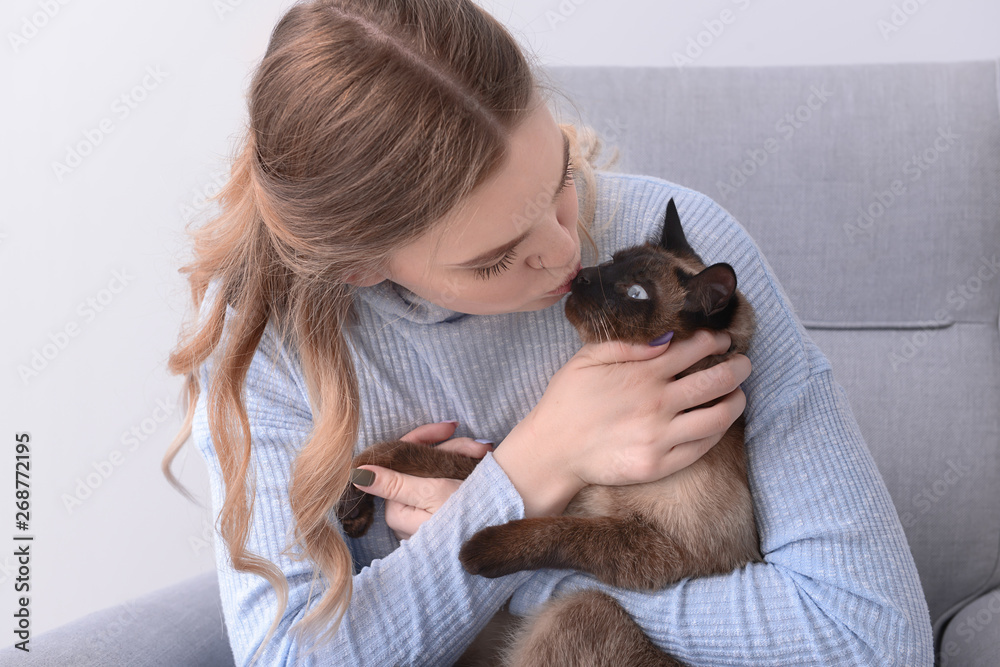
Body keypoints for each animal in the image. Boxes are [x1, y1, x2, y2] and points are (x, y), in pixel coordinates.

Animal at [340, 196, 760, 664]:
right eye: (611, 263)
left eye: (635, 293)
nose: (582, 275)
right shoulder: (575, 493)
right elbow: (422, 459)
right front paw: (355, 502)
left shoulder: (651, 549)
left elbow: (553, 530)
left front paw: (474, 552)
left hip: (583, 608)